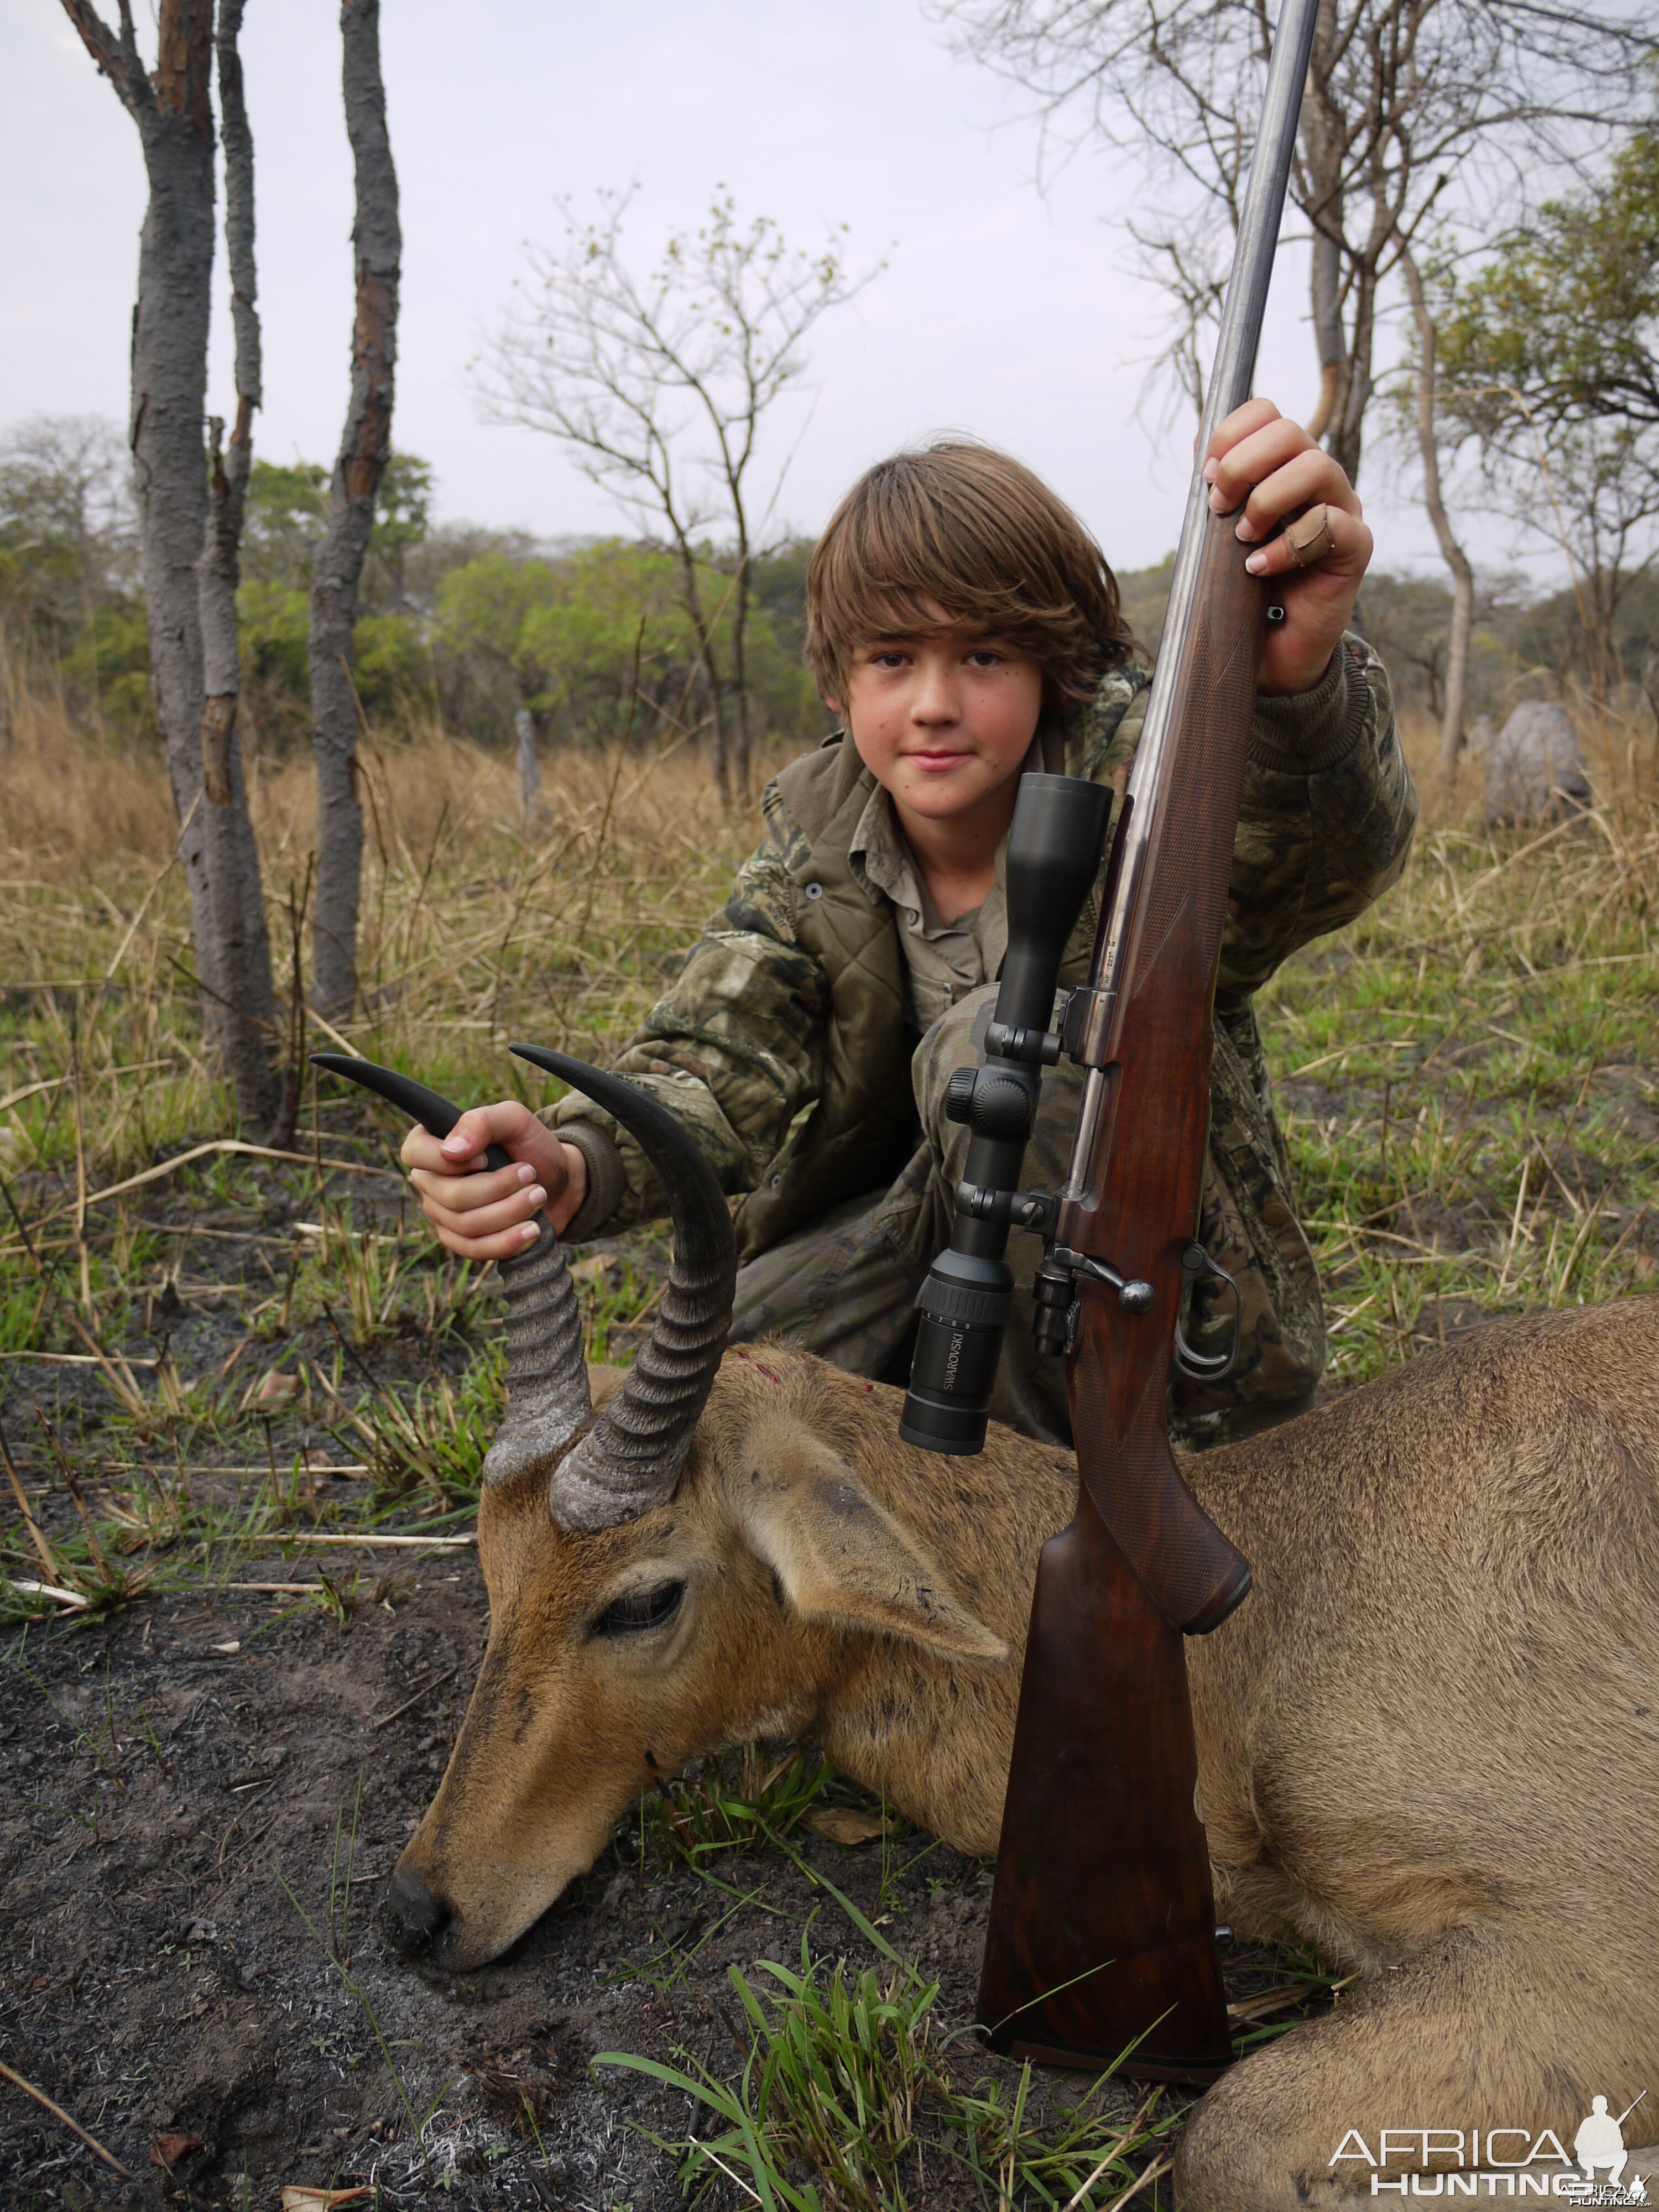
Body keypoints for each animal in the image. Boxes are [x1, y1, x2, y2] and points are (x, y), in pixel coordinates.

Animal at [380, 1062, 1659, 2203]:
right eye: (493, 1561)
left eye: (643, 1597)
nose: (420, 1910)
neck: (1285, 1591)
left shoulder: (1593, 1954)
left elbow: (1223, 2134)